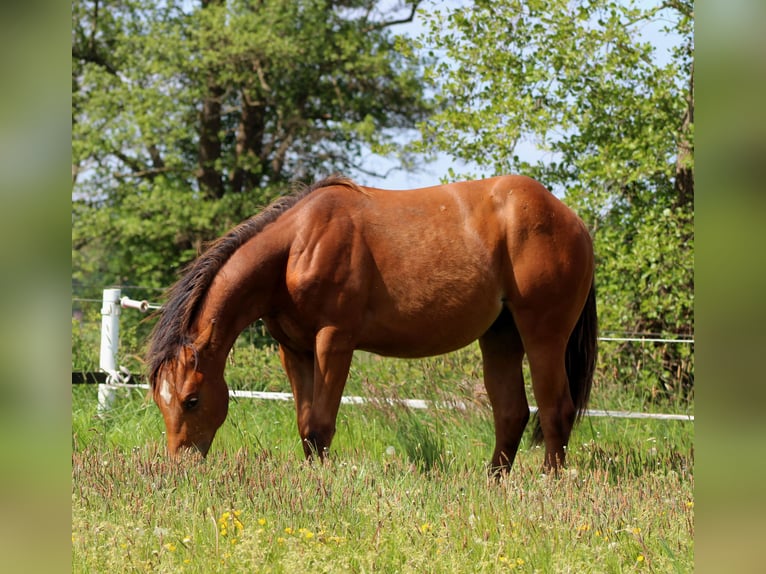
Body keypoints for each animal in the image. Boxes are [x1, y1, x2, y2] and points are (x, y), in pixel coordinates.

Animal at [146, 174, 597, 473]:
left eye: (191, 400)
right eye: (160, 401)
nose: (180, 466)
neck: (298, 246)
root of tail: (571, 219)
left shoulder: (334, 342)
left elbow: (320, 425)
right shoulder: (294, 350)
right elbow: (305, 425)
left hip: (543, 336)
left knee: (555, 410)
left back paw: (548, 483)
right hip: (501, 337)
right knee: (511, 413)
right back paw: (494, 482)